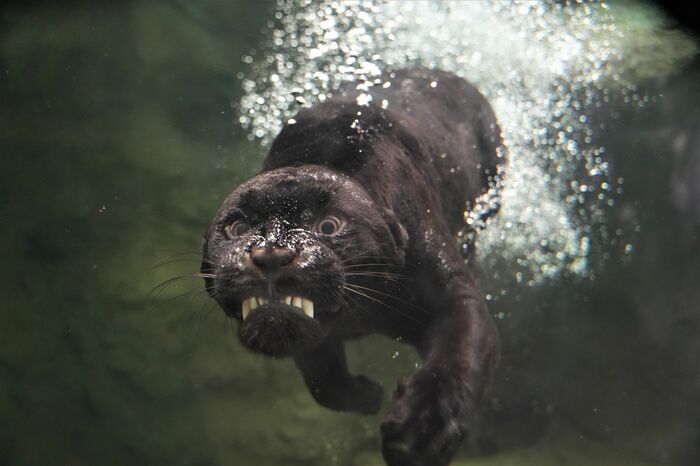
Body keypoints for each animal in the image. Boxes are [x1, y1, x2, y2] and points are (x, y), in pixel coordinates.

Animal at [202, 68, 502, 466]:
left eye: (329, 225)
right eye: (237, 227)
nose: (271, 254)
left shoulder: (452, 295)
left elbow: (459, 355)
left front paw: (420, 431)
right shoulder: (314, 339)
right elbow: (323, 382)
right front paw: (369, 395)